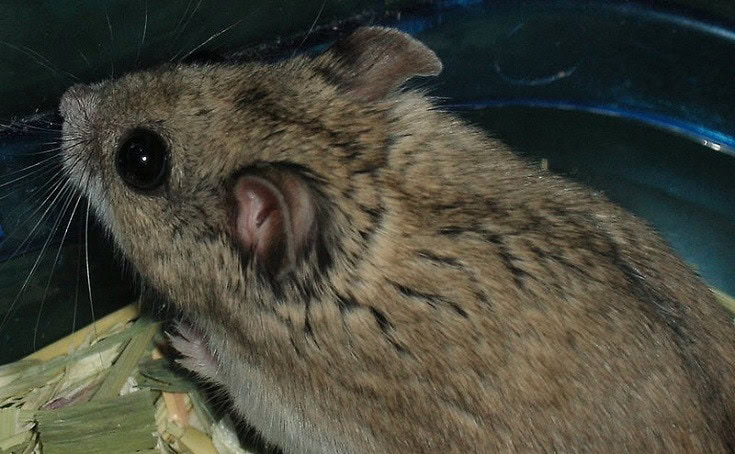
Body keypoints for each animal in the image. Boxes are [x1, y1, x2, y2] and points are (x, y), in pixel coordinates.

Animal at [58, 27, 735, 453]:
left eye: (141, 159)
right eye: (215, 59)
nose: (64, 100)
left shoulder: (276, 399)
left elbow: (220, 365)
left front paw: (180, 339)